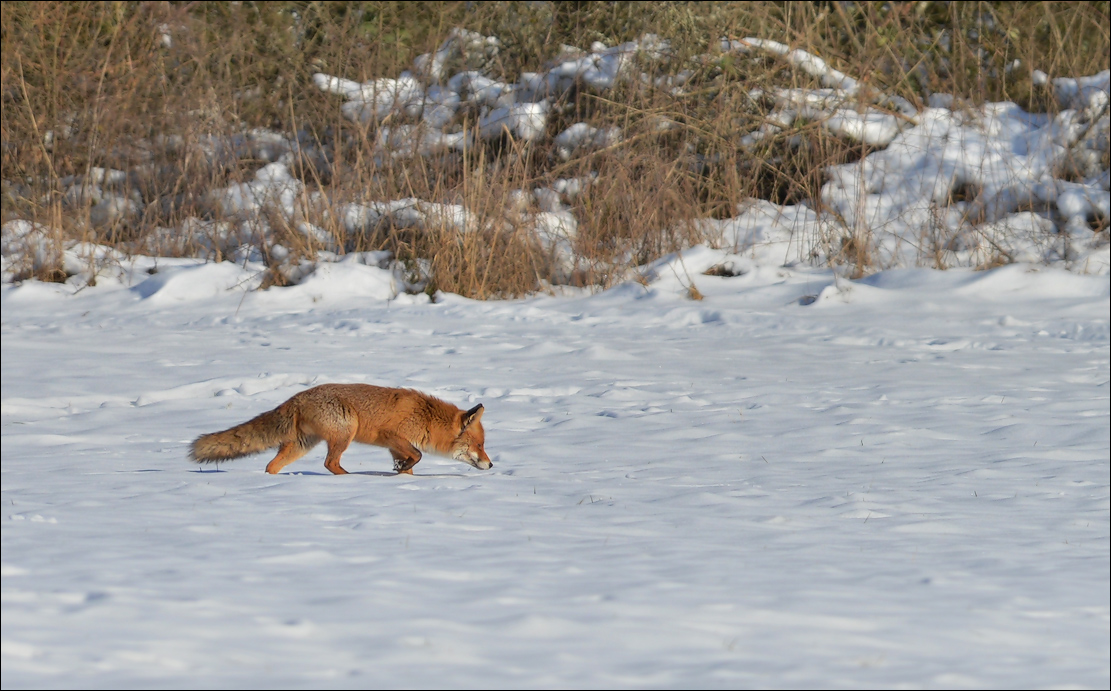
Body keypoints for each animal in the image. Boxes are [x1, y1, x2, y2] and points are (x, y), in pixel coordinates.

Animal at [191, 384, 491, 475]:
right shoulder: (392, 436)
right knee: (330, 463)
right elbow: (417, 455)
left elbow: (410, 465)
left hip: (301, 445)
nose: (490, 464)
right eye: (479, 445)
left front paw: (403, 477)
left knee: (271, 466)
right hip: (346, 432)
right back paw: (350, 478)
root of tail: (296, 397)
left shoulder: (395, 447)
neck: (426, 418)